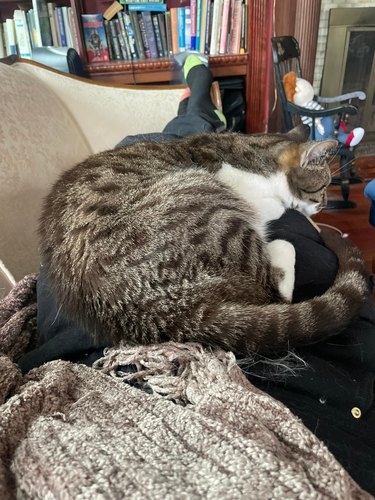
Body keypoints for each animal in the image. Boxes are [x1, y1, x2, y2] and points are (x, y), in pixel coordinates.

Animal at [39, 124, 370, 352]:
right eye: (323, 186)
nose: (324, 205)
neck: (257, 156)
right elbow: (277, 210)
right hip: (212, 207)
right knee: (273, 286)